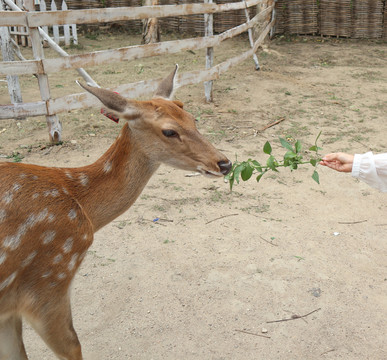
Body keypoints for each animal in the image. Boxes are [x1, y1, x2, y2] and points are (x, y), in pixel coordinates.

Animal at [0, 66, 230, 358]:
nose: (224, 163)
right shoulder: (47, 283)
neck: (83, 206)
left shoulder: (9, 312)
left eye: (191, 117)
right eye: (169, 131)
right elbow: (74, 345)